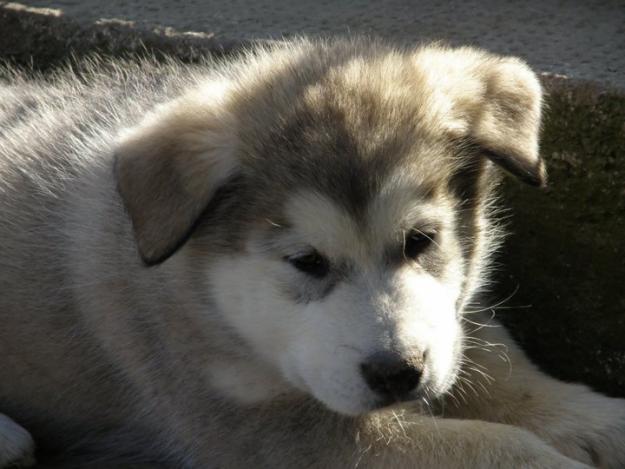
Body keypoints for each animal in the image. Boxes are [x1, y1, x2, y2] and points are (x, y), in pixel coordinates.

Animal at [1, 38, 624, 466]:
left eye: (420, 241)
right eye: (307, 262)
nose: (399, 374)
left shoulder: (454, 319)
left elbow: (503, 367)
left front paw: (600, 422)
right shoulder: (274, 432)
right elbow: (488, 445)